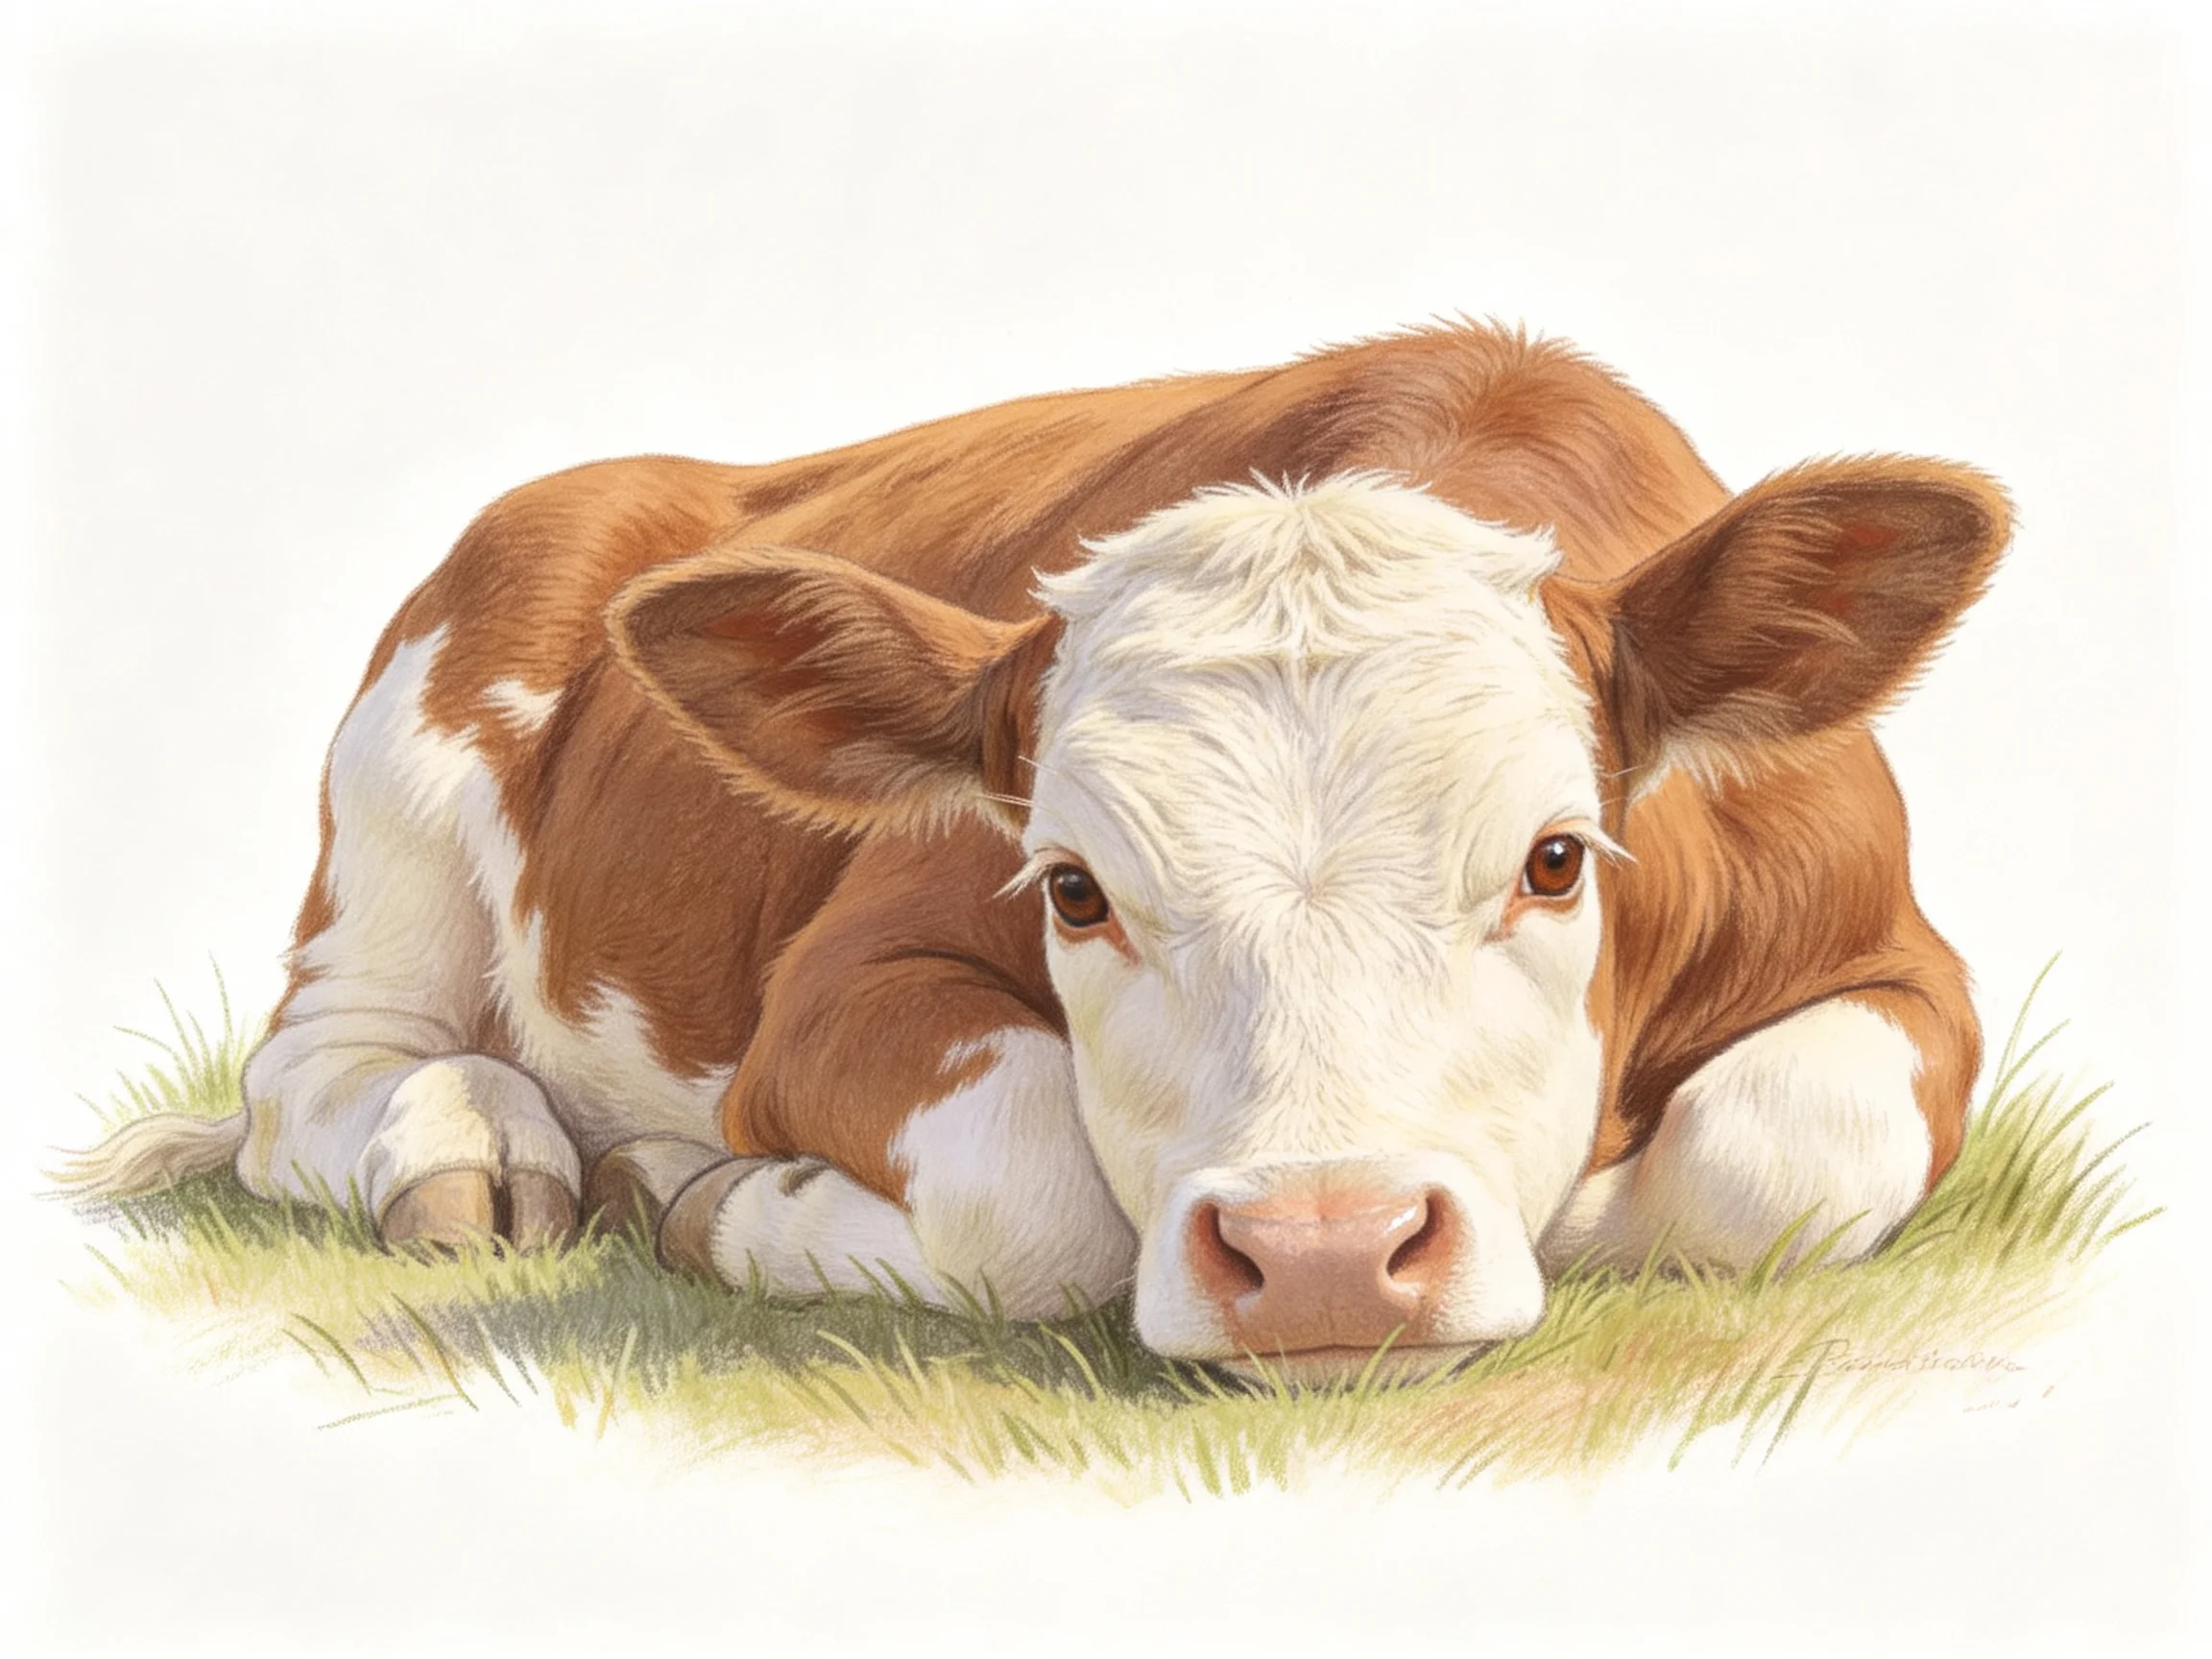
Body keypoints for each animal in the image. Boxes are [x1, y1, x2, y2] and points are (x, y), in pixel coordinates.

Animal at [68, 321, 2005, 1381]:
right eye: (1073, 887)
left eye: (1553, 858)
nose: (1319, 1250)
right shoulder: (838, 988)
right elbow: (1032, 1183)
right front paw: (715, 1203)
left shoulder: (1904, 965)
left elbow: (1778, 1149)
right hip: (407, 779)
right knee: (322, 1069)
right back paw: (476, 1155)